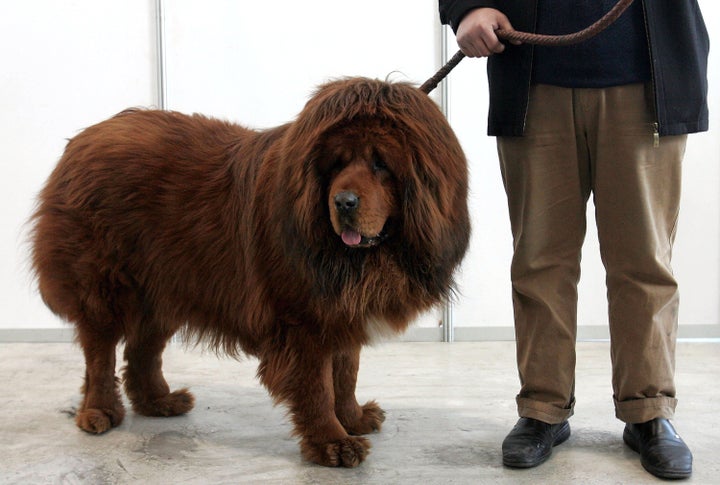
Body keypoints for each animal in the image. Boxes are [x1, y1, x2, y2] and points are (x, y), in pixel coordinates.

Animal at [31, 77, 470, 466]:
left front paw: (354, 418)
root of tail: (81, 140)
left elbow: (347, 374)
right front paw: (332, 442)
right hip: (104, 286)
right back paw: (99, 412)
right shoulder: (302, 323)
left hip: (167, 285)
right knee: (100, 354)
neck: (354, 259)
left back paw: (159, 402)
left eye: (381, 164)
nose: (343, 202)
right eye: (336, 165)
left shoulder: (340, 309)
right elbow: (318, 387)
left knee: (142, 351)